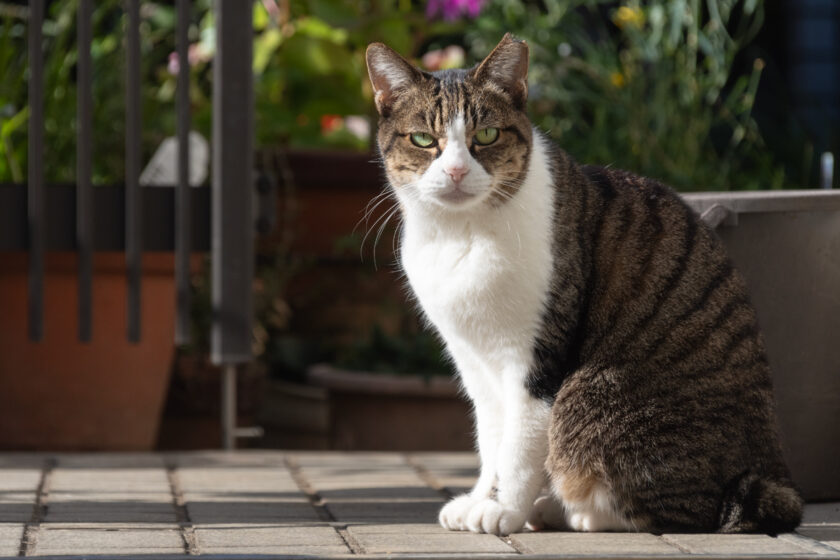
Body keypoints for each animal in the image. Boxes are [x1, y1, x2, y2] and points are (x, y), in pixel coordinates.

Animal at [366, 32, 800, 536]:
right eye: (423, 139)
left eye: (486, 136)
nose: (455, 171)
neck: (462, 233)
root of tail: (775, 476)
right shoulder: (473, 360)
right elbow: (492, 440)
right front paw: (479, 498)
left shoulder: (536, 358)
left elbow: (518, 447)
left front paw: (502, 509)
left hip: (594, 399)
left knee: (677, 510)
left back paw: (570, 511)